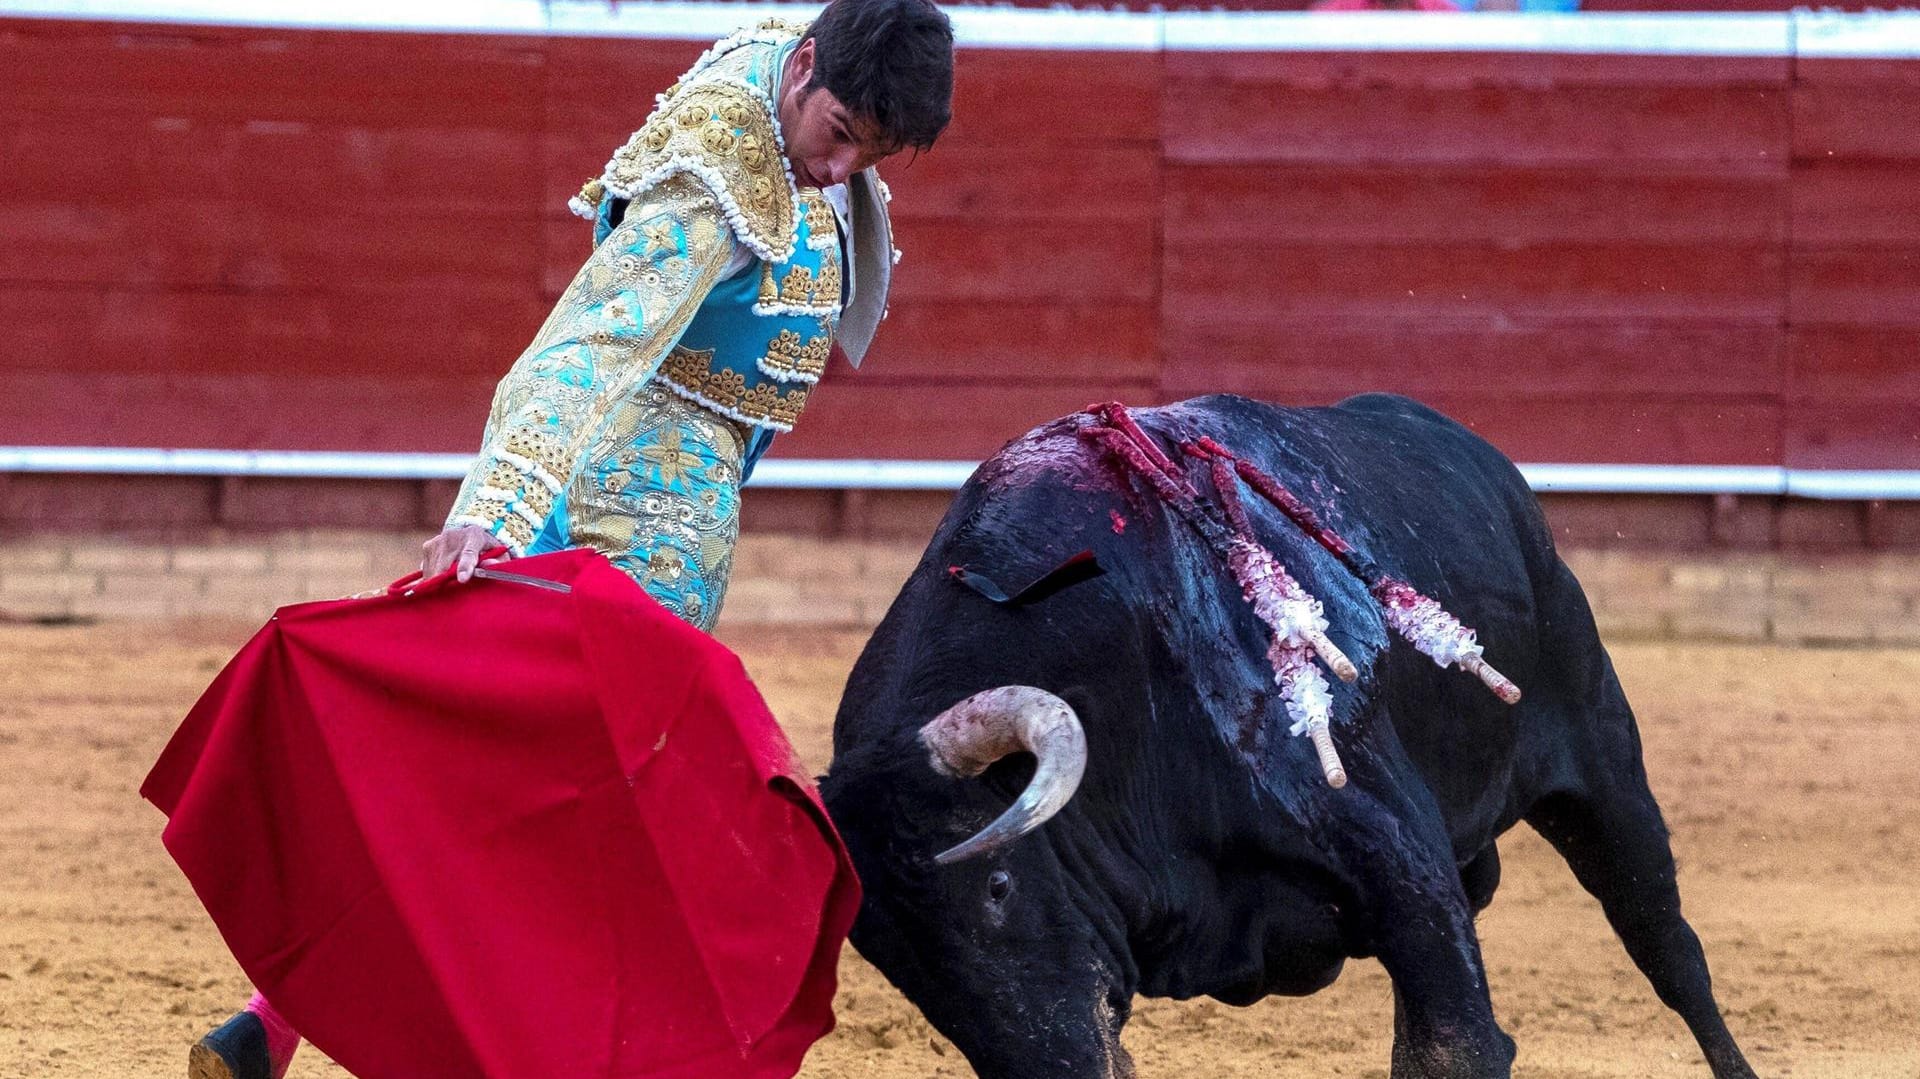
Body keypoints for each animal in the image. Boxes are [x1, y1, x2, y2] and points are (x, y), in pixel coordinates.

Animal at [817, 395, 1758, 1075]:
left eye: (1000, 884)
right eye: (889, 954)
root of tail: (1481, 459)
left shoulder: (1394, 854)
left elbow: (1458, 1046)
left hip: (1601, 759)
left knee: (1668, 946)